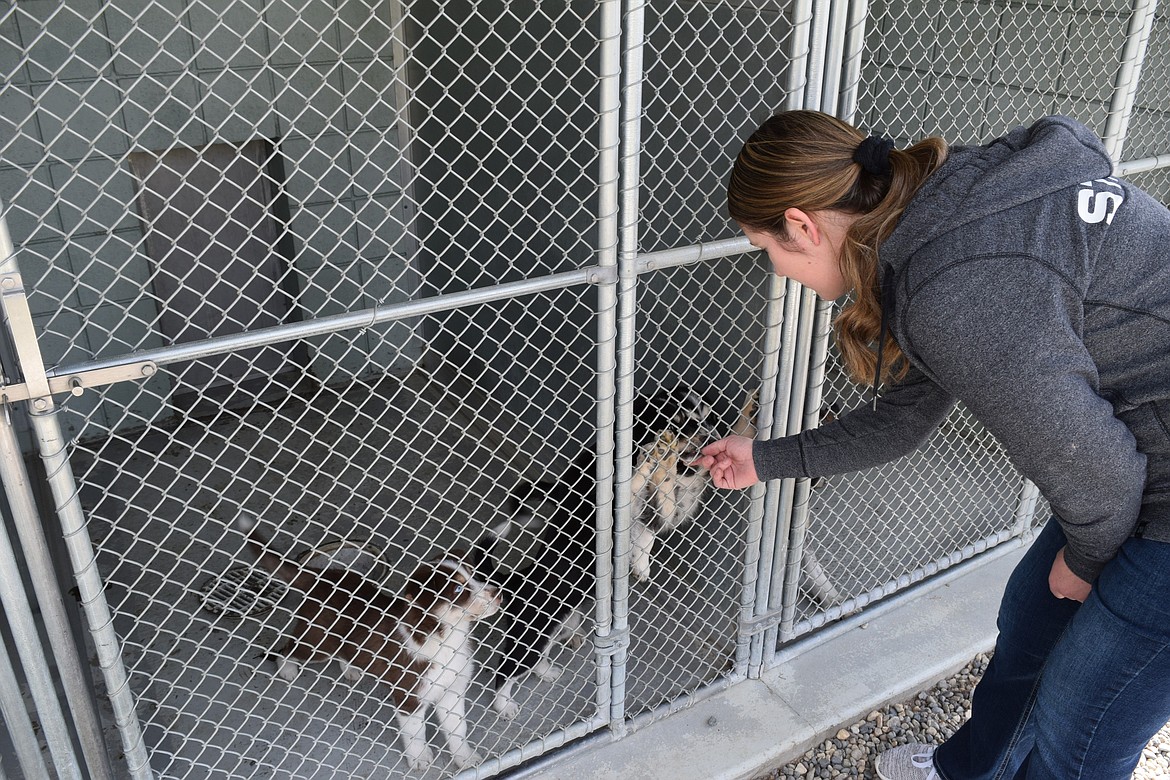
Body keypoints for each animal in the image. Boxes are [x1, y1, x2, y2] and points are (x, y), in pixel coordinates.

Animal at [237, 514, 498, 771]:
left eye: (475, 574)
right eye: (458, 589)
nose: (498, 594)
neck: (445, 637)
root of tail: (321, 577)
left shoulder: (452, 690)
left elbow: (458, 730)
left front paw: (466, 759)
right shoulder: (409, 697)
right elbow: (416, 733)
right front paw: (420, 759)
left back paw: (351, 668)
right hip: (318, 641)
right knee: (288, 647)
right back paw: (287, 668)